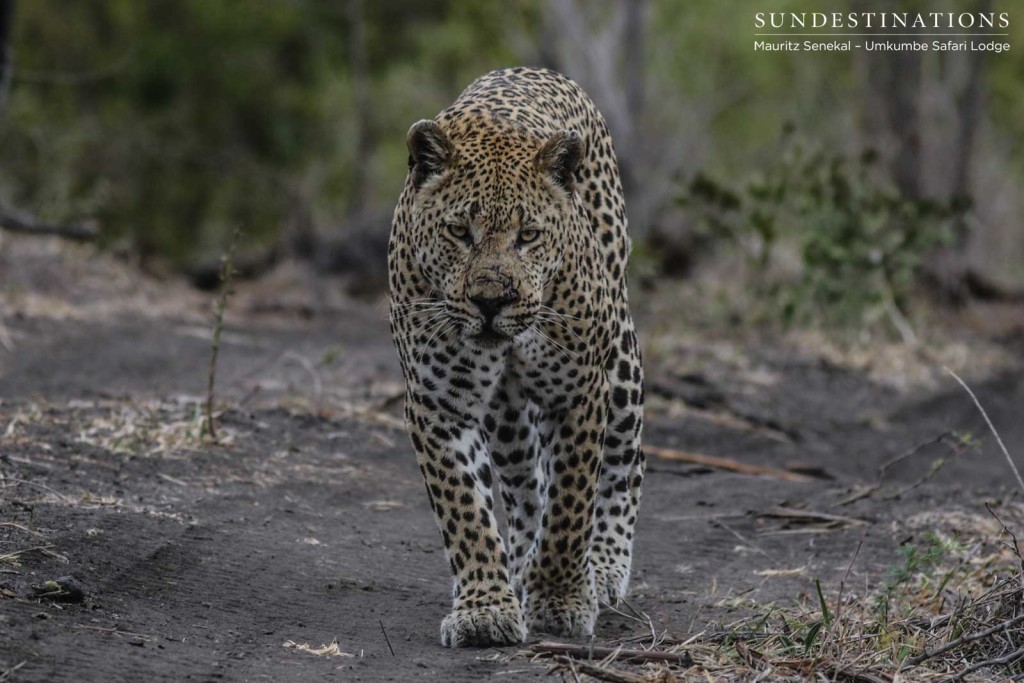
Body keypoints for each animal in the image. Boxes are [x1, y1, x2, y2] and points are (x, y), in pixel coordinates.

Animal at [387, 66, 643, 651]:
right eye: (460, 231)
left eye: (528, 236)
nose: (490, 300)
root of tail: (534, 69)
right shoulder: (438, 402)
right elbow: (466, 510)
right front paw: (486, 608)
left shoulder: (578, 389)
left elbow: (571, 503)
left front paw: (561, 599)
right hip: (505, 416)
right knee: (525, 484)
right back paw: (522, 565)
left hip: (619, 356)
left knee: (622, 464)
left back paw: (603, 567)